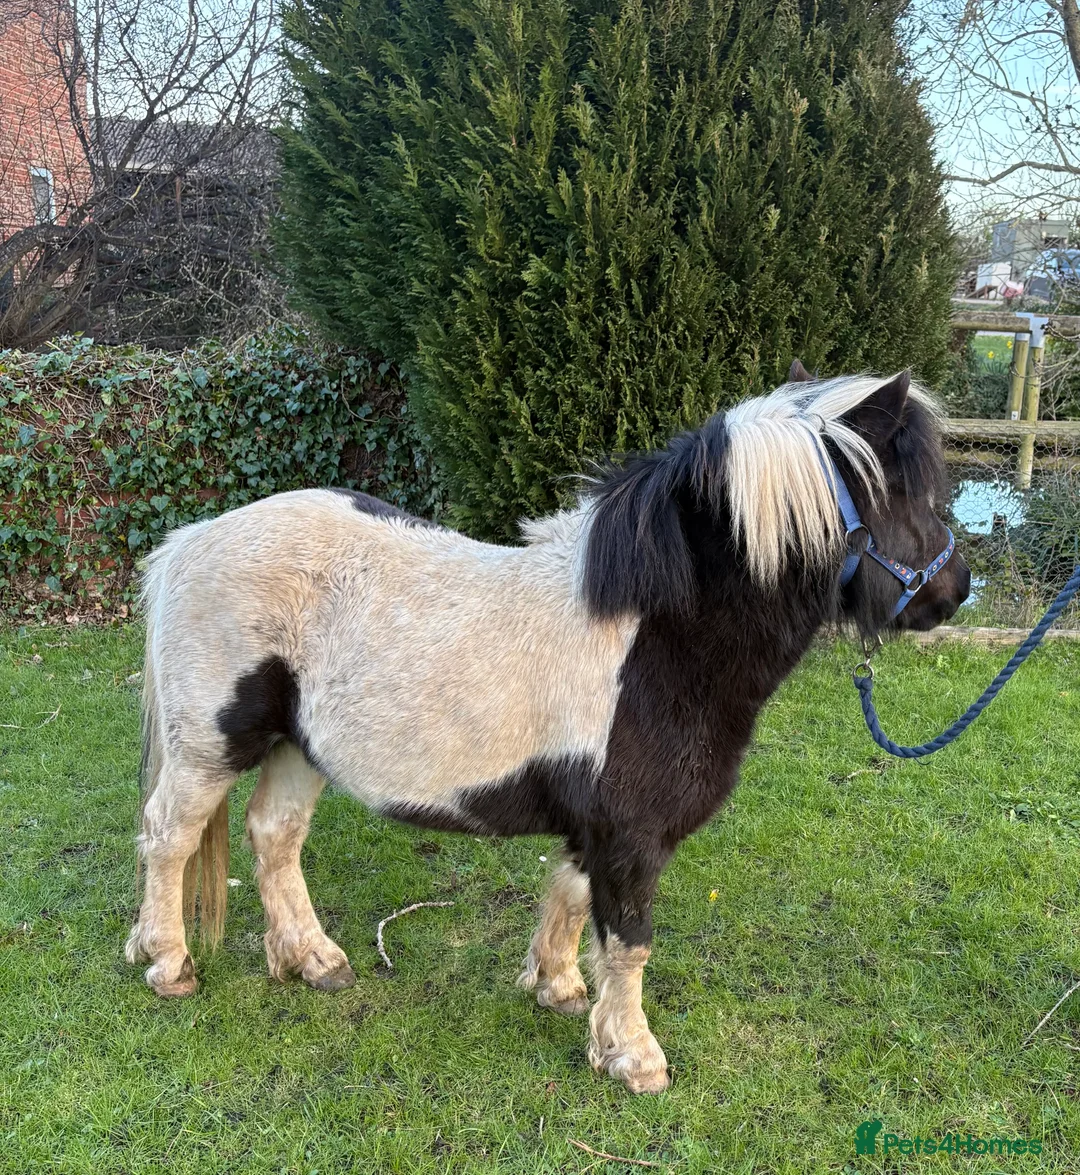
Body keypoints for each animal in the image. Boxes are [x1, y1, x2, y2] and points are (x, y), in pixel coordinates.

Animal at [125, 363, 970, 1094]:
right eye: (909, 494)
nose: (955, 593)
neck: (655, 634)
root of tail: (189, 540)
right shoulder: (632, 833)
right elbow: (629, 940)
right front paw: (633, 1055)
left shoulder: (597, 822)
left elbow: (569, 895)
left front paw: (558, 987)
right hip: (211, 746)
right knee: (169, 836)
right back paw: (169, 962)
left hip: (298, 747)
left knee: (275, 837)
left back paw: (312, 958)